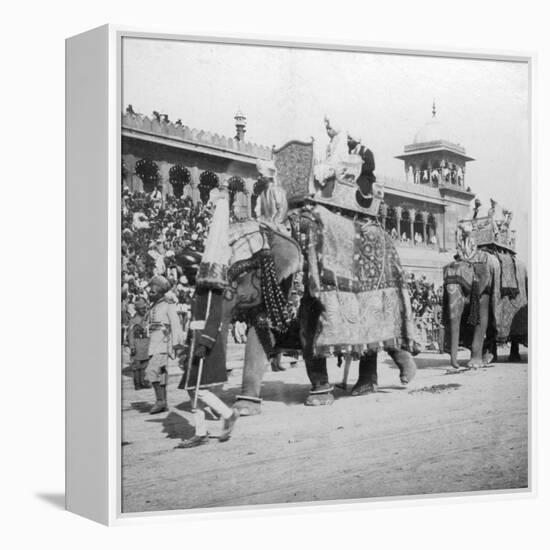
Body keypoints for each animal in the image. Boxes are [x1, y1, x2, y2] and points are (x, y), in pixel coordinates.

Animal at [224, 204, 418, 418]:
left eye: (240, 271)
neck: (280, 228)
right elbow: (259, 337)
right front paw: (243, 408)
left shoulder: (309, 281)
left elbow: (309, 337)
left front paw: (319, 399)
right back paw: (365, 388)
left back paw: (403, 377)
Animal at [444, 221, 532, 370]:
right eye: (444, 289)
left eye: (464, 289)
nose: (457, 367)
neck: (472, 261)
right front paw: (481, 361)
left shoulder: (486, 286)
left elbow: (482, 319)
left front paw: (474, 365)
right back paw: (491, 359)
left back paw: (511, 358)